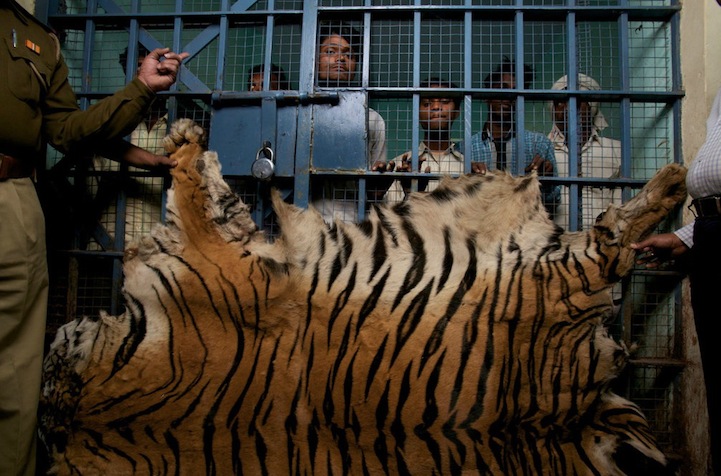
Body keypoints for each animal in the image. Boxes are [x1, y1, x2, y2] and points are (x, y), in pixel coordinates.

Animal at [39, 118, 686, 475]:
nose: (53, 352)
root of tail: (578, 414)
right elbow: (200, 188)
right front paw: (190, 140)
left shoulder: (218, 252)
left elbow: (193, 184)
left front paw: (185, 137)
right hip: (563, 280)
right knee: (610, 240)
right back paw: (671, 184)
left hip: (563, 278)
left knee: (611, 235)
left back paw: (674, 179)